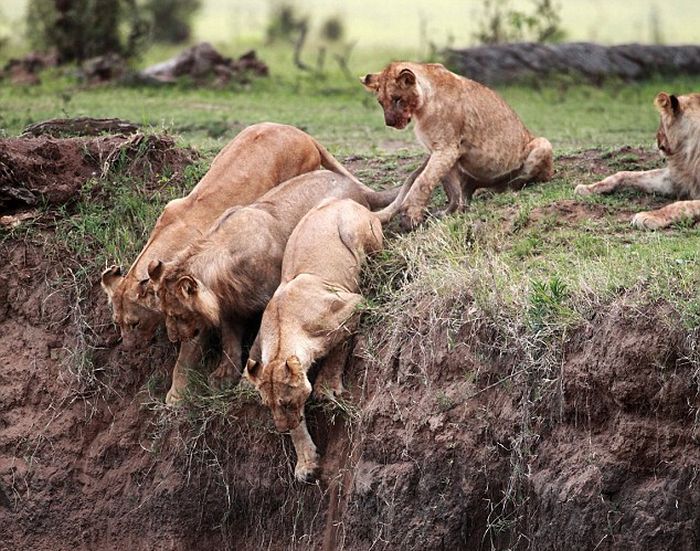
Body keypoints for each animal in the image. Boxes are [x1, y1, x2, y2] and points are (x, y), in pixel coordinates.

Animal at [100, 122, 370, 406]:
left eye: (134, 323)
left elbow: (186, 356)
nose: (128, 350)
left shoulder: (201, 310)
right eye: (118, 322)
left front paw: (176, 395)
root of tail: (298, 131)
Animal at [146, 169, 400, 406]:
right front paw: (224, 375)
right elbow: (230, 340)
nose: (173, 339)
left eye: (178, 314)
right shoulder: (230, 305)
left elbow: (256, 344)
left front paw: (243, 382)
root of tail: (356, 186)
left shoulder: (268, 299)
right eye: (164, 313)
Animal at [242, 198, 382, 484]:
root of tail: (350, 201)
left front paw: (327, 387)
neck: (283, 333)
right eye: (268, 406)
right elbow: (299, 426)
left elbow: (339, 346)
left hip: (354, 234)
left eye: (285, 403)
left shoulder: (352, 303)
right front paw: (306, 463)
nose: (281, 428)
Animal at [360, 62, 552, 229]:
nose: (389, 123)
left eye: (398, 99)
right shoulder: (443, 152)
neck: (421, 108)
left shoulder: (447, 149)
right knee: (468, 190)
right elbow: (451, 189)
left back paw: (503, 188)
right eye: (380, 102)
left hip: (543, 143)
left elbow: (423, 181)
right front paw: (449, 213)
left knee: (522, 180)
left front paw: (411, 216)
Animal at [576, 91, 700, 230]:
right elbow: (625, 174)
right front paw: (587, 188)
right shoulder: (678, 178)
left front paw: (650, 216)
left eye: (661, 122)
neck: (688, 153)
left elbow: (682, 205)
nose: (657, 140)